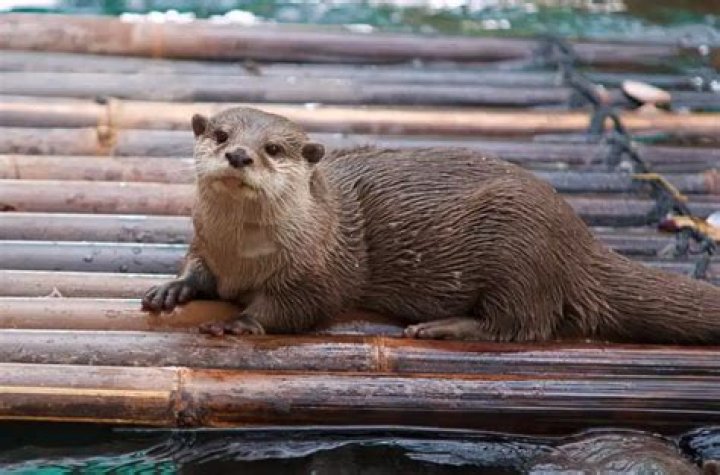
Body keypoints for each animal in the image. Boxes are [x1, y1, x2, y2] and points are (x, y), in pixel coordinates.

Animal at [141, 106, 720, 343]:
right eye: (220, 134)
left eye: (274, 149)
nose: (239, 155)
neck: (244, 256)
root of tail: (579, 238)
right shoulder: (205, 243)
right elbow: (196, 268)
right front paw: (173, 289)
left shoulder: (323, 269)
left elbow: (299, 308)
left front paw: (240, 322)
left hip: (519, 244)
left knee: (523, 323)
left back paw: (442, 326)